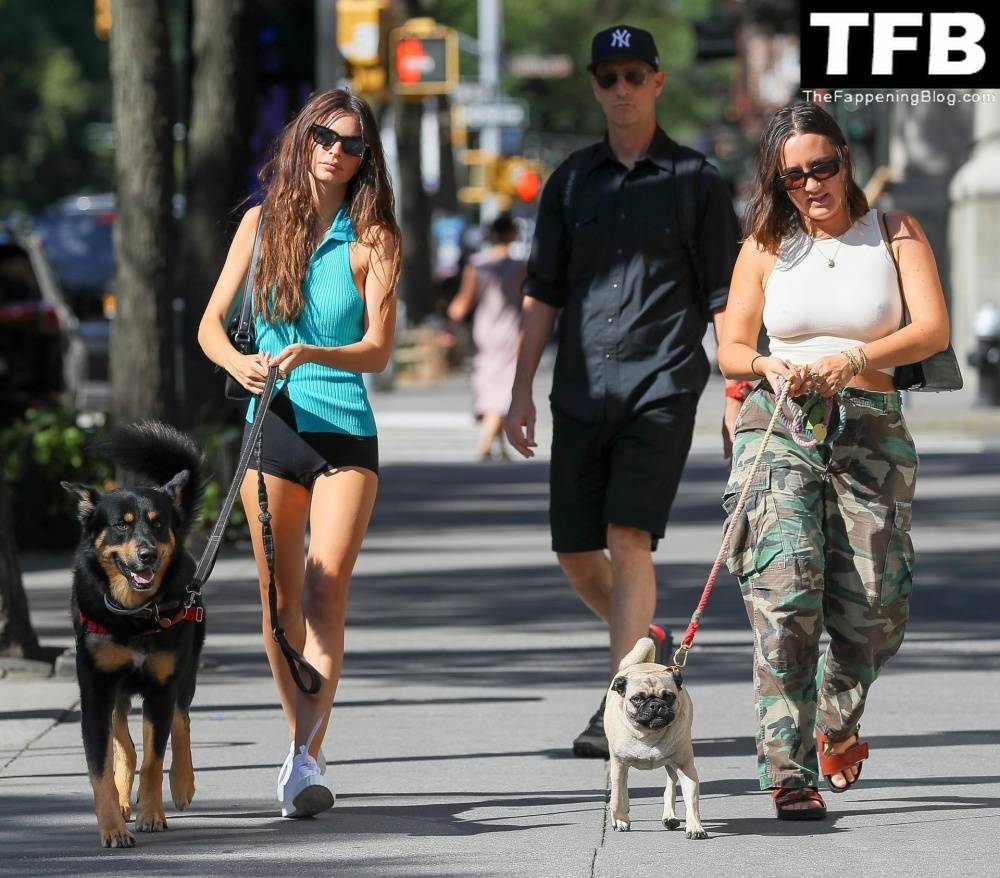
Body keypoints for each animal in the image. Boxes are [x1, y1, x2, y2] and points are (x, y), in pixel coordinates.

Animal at [61, 422, 206, 848]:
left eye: (157, 523)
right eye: (121, 524)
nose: (147, 555)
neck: (134, 614)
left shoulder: (160, 688)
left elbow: (156, 759)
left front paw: (152, 814)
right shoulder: (96, 691)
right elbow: (102, 767)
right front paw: (113, 825)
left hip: (184, 669)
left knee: (181, 719)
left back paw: (182, 783)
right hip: (117, 693)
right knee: (124, 743)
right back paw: (126, 797)